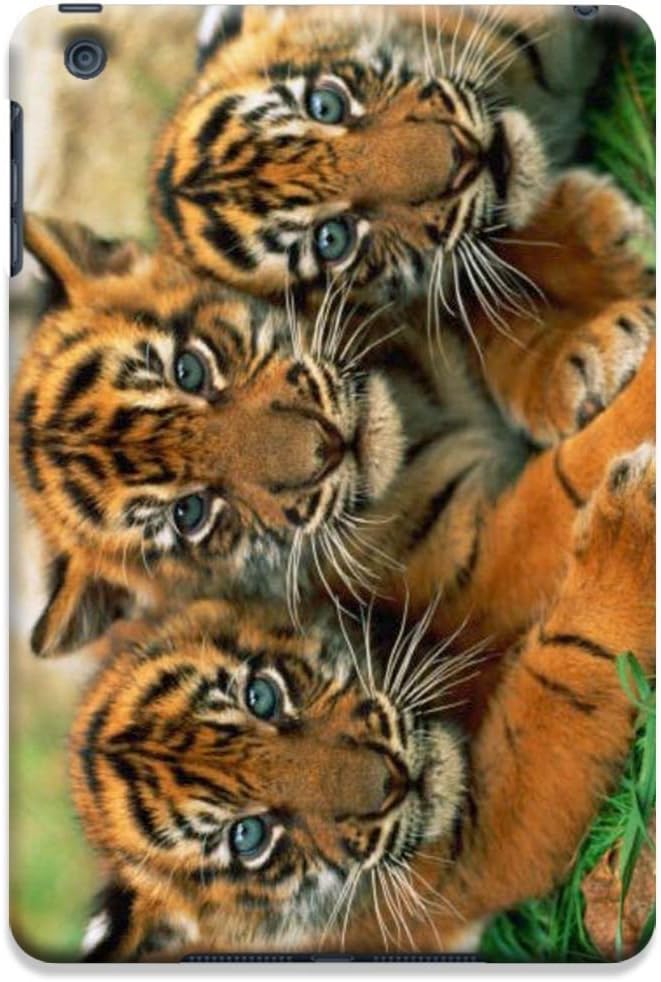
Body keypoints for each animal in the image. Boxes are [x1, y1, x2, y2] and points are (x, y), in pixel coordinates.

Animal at [10, 170, 655, 659]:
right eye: (190, 513)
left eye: (189, 370)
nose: (327, 446)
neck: (419, 406)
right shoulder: (479, 570)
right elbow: (570, 479)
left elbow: (483, 302)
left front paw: (598, 245)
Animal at [71, 441, 655, 960]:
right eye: (248, 837)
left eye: (262, 696)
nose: (391, 782)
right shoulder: (477, 849)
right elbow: (565, 666)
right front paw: (631, 529)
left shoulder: (448, 595)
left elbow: (554, 490)